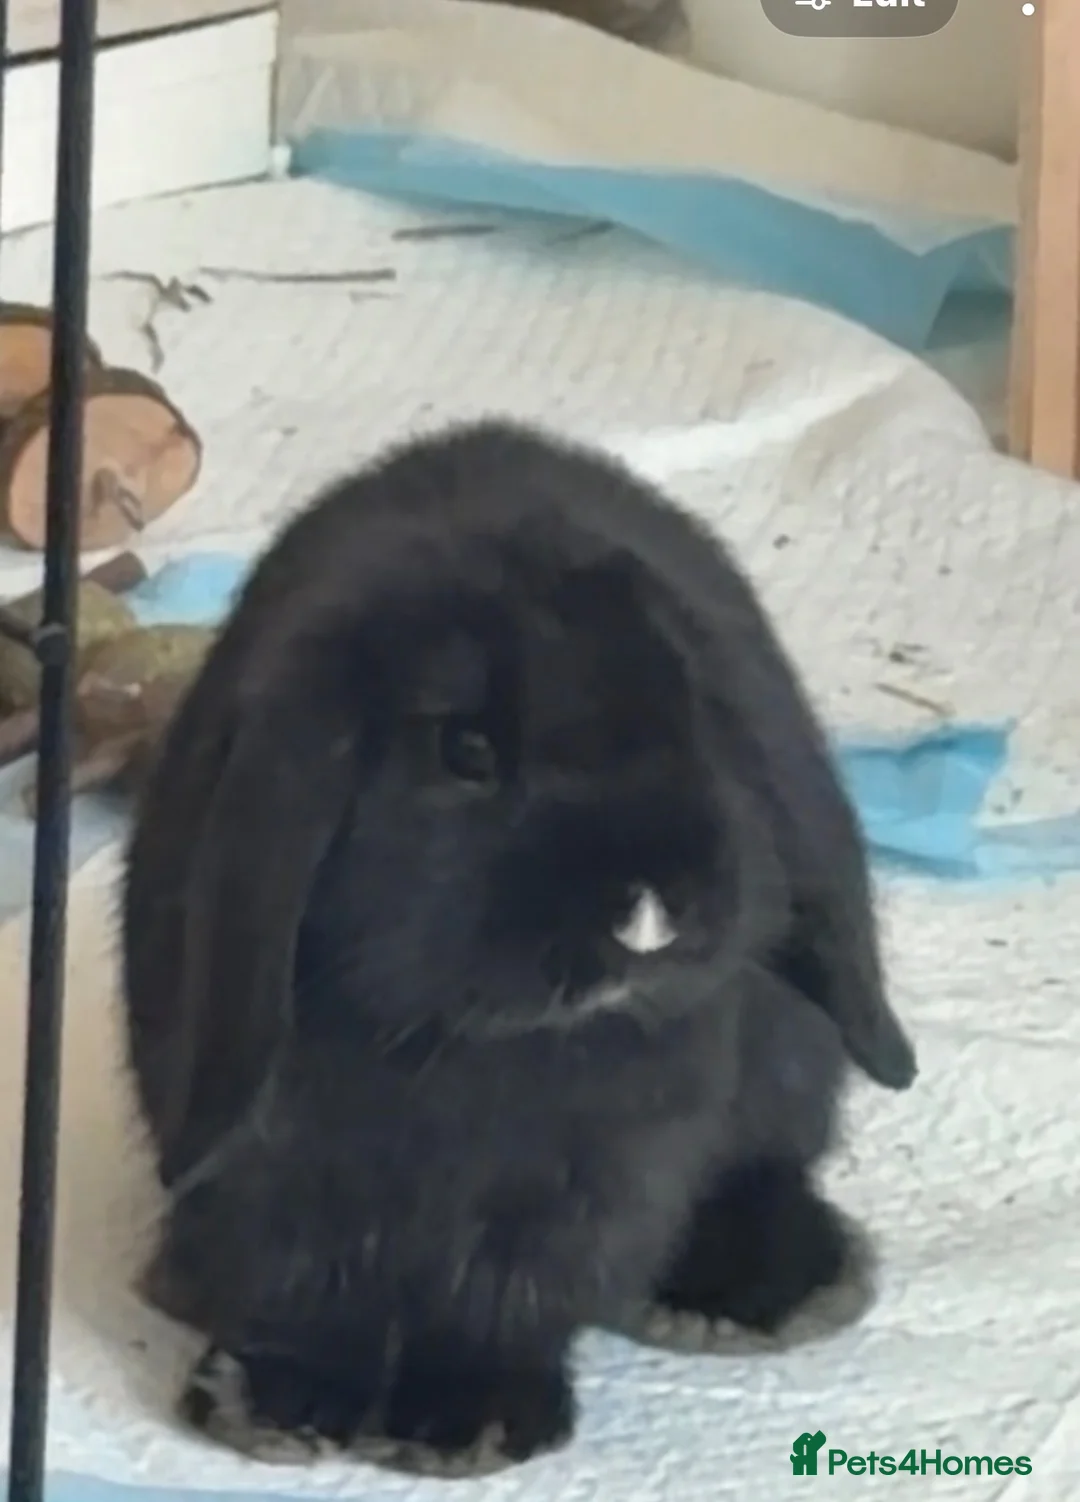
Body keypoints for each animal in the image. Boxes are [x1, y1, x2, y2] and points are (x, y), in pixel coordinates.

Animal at [121, 418, 916, 1471]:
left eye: (686, 713)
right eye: (467, 751)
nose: (649, 914)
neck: (463, 1047)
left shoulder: (582, 1189)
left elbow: (507, 1299)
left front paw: (471, 1421)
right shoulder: (278, 1182)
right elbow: (303, 1291)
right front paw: (278, 1405)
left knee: (767, 1167)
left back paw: (761, 1290)